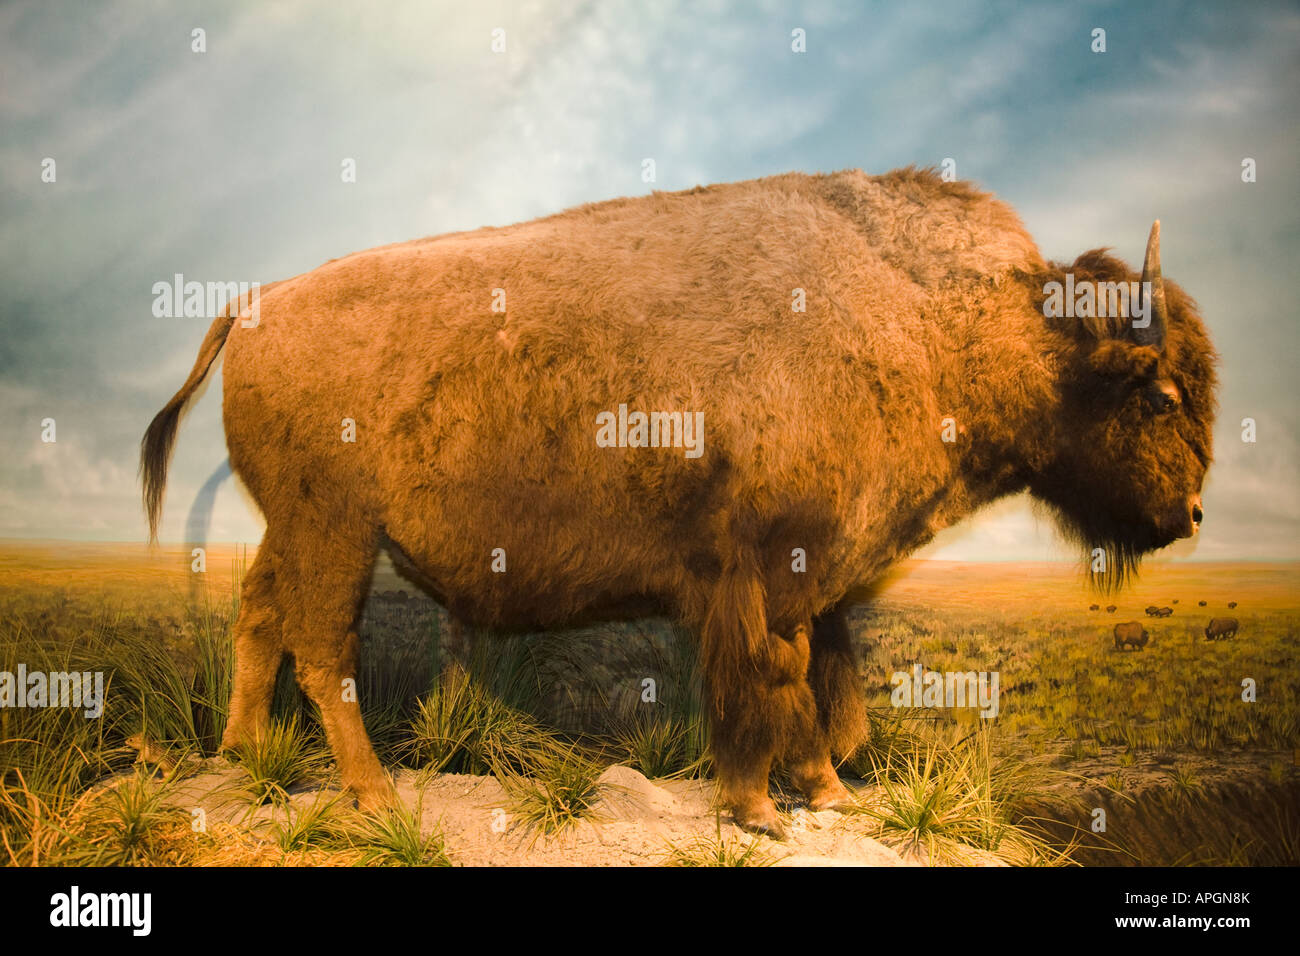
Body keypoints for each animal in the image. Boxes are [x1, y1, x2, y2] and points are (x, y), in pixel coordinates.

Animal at [141, 167, 1218, 836]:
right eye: (1162, 393)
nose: (1196, 514)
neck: (931, 319)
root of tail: (252, 304)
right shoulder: (764, 573)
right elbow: (774, 680)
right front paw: (759, 807)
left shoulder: (813, 575)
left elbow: (818, 679)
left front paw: (822, 791)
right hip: (336, 530)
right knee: (323, 650)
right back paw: (371, 797)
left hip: (295, 529)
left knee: (260, 618)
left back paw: (244, 758)